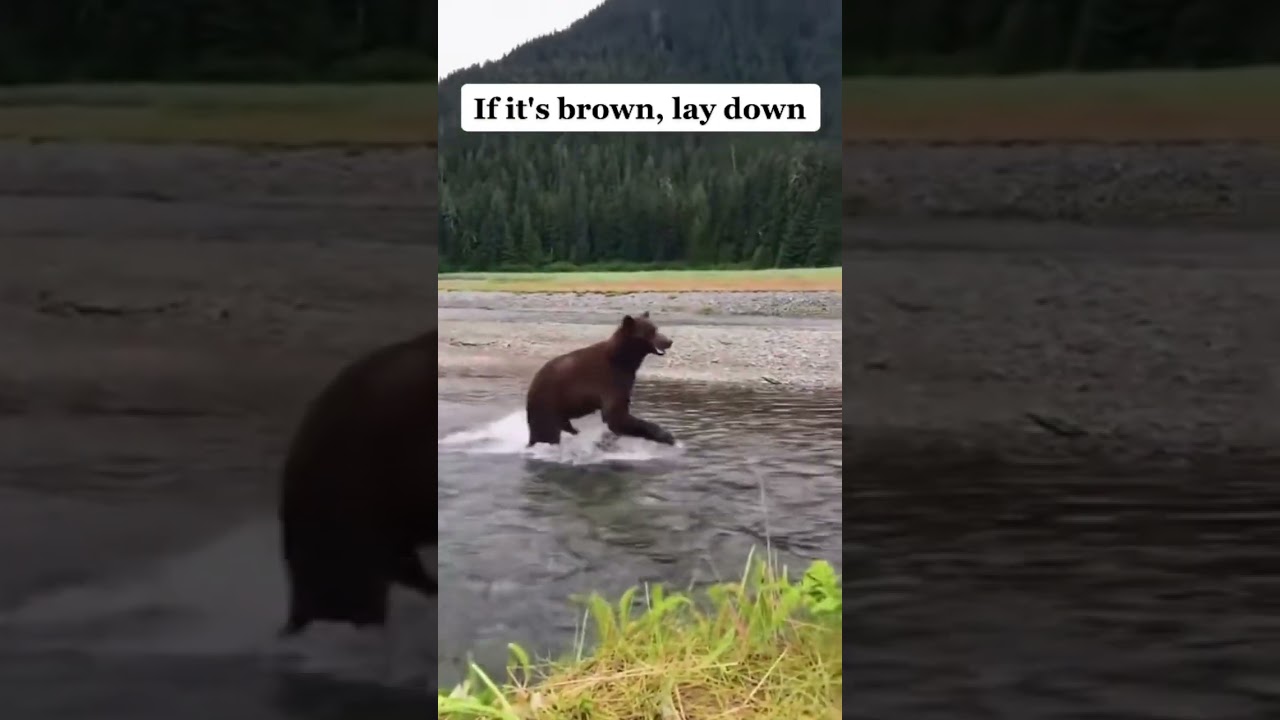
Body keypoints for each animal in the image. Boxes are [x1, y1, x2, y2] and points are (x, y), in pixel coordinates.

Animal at [525, 312, 676, 447]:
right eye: (651, 331)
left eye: (656, 328)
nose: (669, 341)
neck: (623, 359)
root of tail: (531, 388)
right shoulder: (610, 379)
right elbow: (615, 415)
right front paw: (666, 436)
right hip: (548, 403)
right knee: (547, 433)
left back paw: (574, 431)